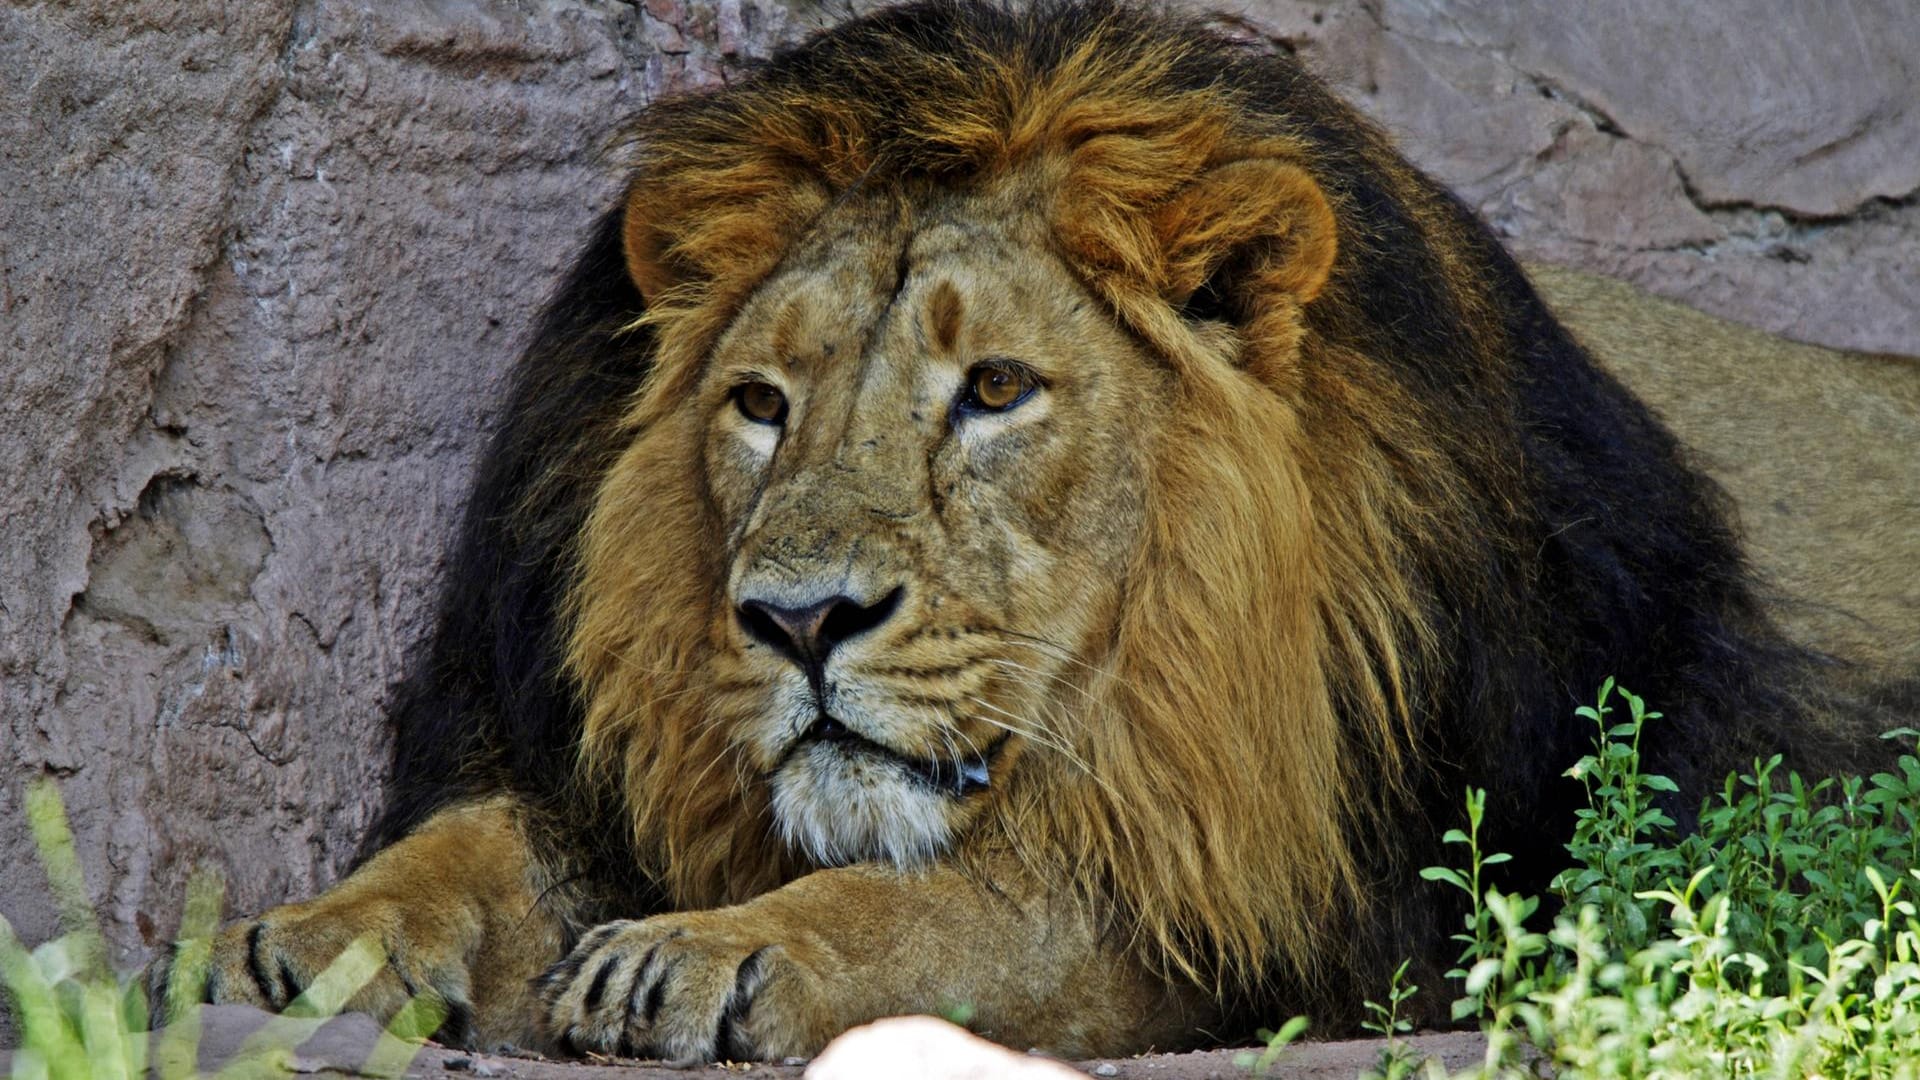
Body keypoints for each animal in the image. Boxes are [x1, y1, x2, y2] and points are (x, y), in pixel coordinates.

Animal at [153, 0, 1920, 1060]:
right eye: (760, 404)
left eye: (995, 388)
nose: (798, 621)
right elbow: (476, 840)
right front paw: (303, 940)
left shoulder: (1287, 905)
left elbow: (966, 905)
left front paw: (708, 952)